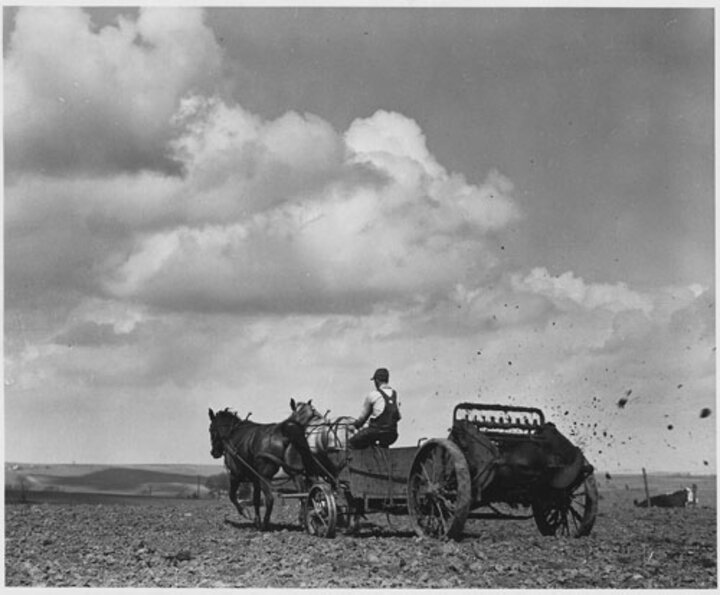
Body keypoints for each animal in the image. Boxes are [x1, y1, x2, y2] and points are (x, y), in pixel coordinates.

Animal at [210, 400, 320, 532]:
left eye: (210, 429)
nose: (214, 452)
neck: (232, 434)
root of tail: (284, 434)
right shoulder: (255, 479)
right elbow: (256, 499)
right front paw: (257, 521)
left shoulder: (235, 475)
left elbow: (232, 496)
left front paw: (246, 513)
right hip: (294, 473)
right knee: (303, 495)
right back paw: (304, 522)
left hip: (265, 476)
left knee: (270, 499)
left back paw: (265, 525)